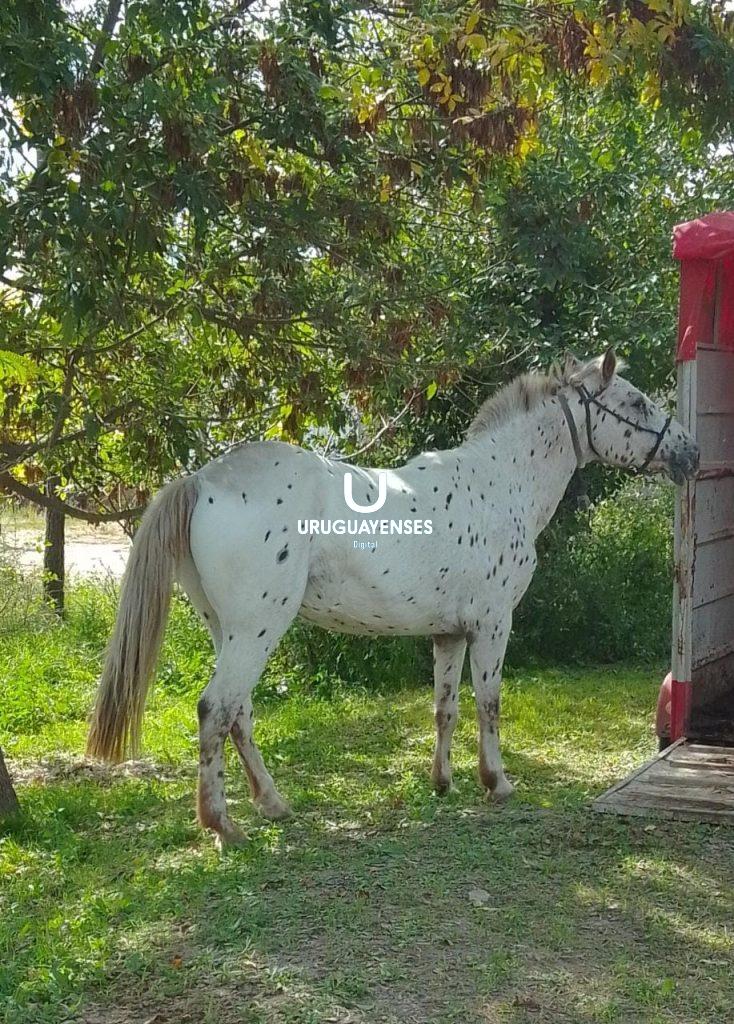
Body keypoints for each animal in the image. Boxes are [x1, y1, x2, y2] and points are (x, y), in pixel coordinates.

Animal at [87, 348, 699, 848]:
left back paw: (273, 805)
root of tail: (204, 481)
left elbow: (446, 707)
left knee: (238, 714)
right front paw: (497, 782)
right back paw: (224, 826)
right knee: (216, 710)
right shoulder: (492, 625)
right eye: (637, 403)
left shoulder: (449, 633)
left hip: (227, 630)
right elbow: (490, 703)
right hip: (257, 629)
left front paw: (443, 782)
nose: (690, 452)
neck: (500, 485)